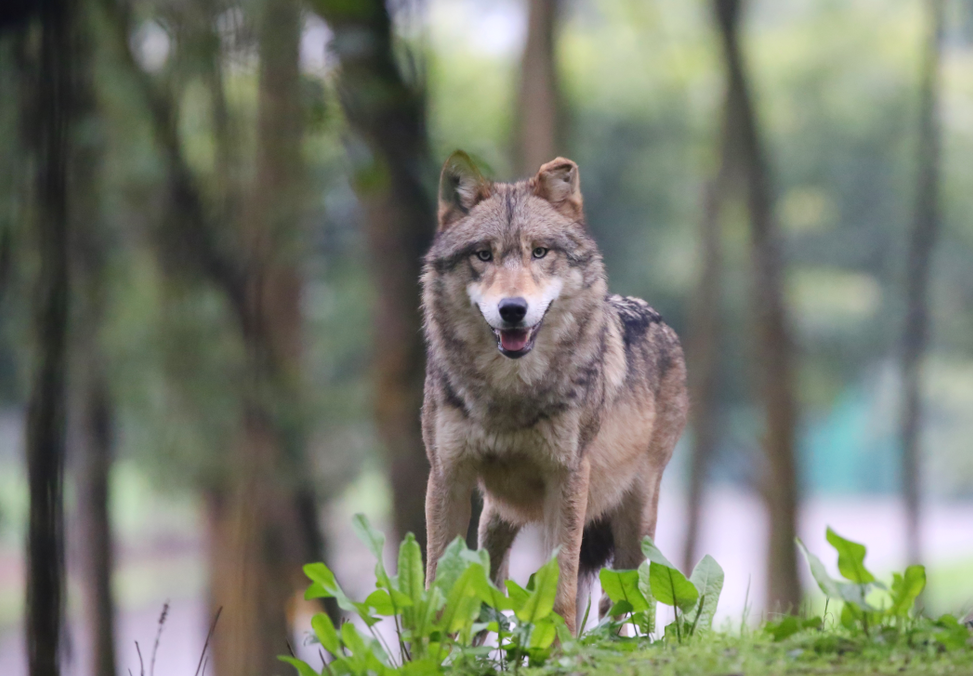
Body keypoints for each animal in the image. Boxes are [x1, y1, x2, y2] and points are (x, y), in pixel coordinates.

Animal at [422, 151, 688, 636]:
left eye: (539, 252)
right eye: (483, 254)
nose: (512, 310)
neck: (508, 395)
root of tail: (655, 315)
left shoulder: (566, 481)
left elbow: (560, 595)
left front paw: (555, 647)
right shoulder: (448, 477)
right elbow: (438, 591)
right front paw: (431, 647)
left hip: (635, 520)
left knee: (623, 602)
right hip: (496, 517)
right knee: (489, 586)